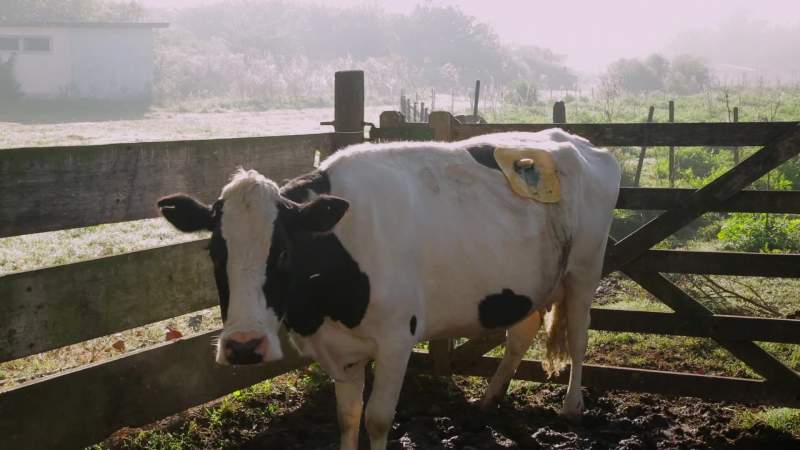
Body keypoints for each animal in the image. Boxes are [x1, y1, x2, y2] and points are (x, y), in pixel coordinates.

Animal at [158, 130, 620, 450]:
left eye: (284, 253)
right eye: (214, 251)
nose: (243, 346)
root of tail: (575, 140)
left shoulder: (398, 339)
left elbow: (378, 418)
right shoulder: (339, 349)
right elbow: (347, 417)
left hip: (586, 268)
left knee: (580, 335)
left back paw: (573, 408)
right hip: (527, 281)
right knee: (521, 333)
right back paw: (487, 402)